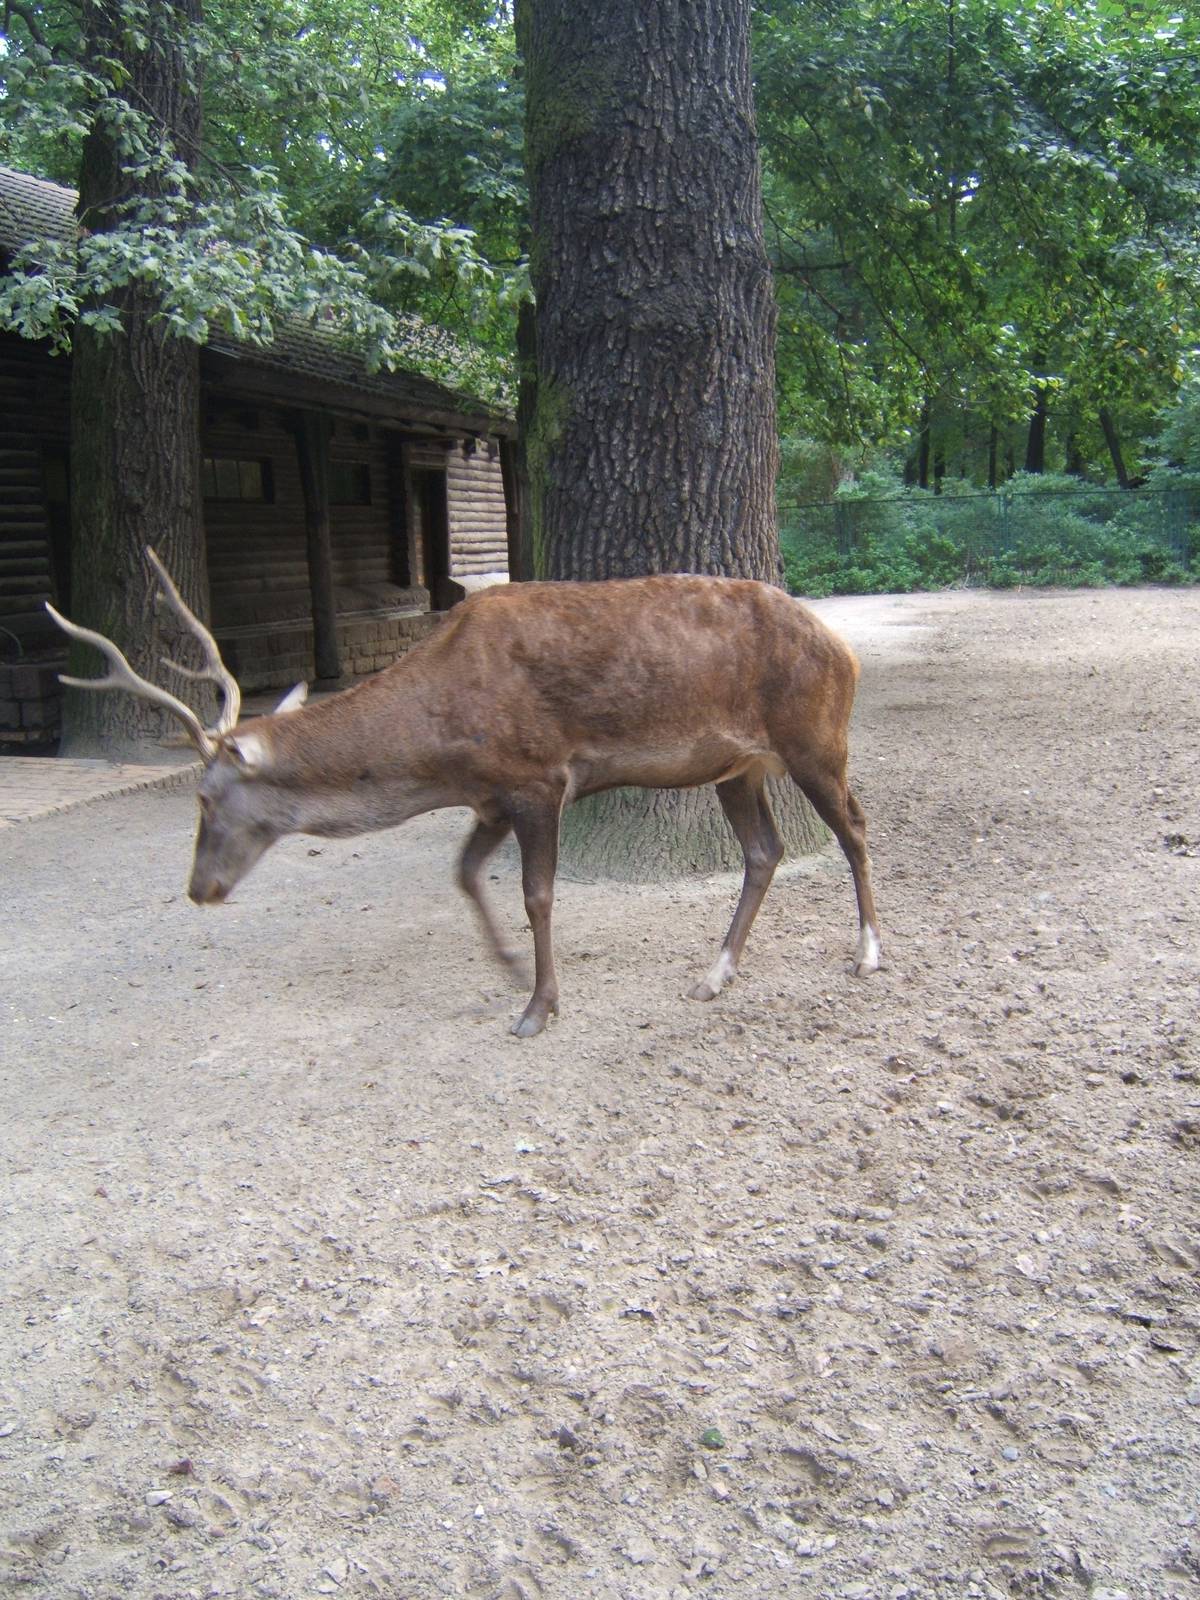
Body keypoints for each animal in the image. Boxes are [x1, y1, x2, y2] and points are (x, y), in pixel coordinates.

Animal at [47, 551, 881, 1037]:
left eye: (204, 799)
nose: (199, 888)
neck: (440, 750)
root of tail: (845, 647)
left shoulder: (539, 777)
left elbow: (538, 894)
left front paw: (538, 1007)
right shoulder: (489, 796)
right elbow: (463, 873)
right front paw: (510, 969)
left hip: (815, 738)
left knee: (855, 828)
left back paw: (869, 952)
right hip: (739, 767)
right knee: (764, 851)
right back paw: (714, 973)